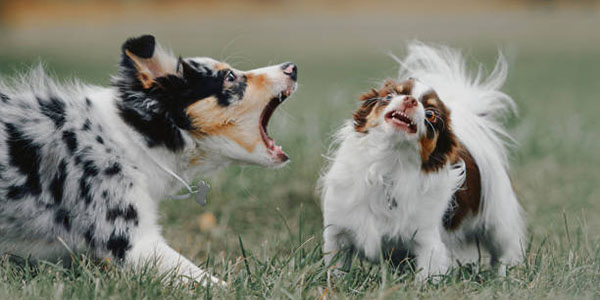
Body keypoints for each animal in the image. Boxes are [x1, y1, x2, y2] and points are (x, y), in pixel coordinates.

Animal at [322, 42, 524, 282]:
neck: (390, 165)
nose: (410, 100)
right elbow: (335, 270)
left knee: (504, 252)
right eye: (389, 96)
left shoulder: (427, 242)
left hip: (497, 224)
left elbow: (426, 275)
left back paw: (504, 277)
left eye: (431, 115)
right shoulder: (338, 233)